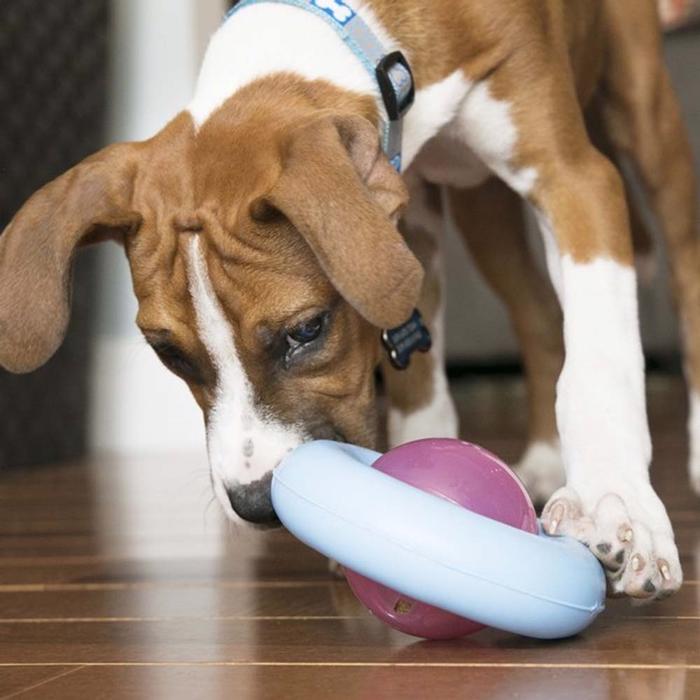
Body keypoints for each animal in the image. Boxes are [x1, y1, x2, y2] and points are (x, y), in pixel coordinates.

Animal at [2, 0, 696, 600]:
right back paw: (547, 458)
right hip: (482, 208)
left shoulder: (573, 179)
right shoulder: (408, 214)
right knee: (539, 314)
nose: (256, 503)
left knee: (682, 267)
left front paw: (615, 504)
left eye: (308, 330)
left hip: (644, 116)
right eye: (170, 355)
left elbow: (600, 362)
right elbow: (419, 370)